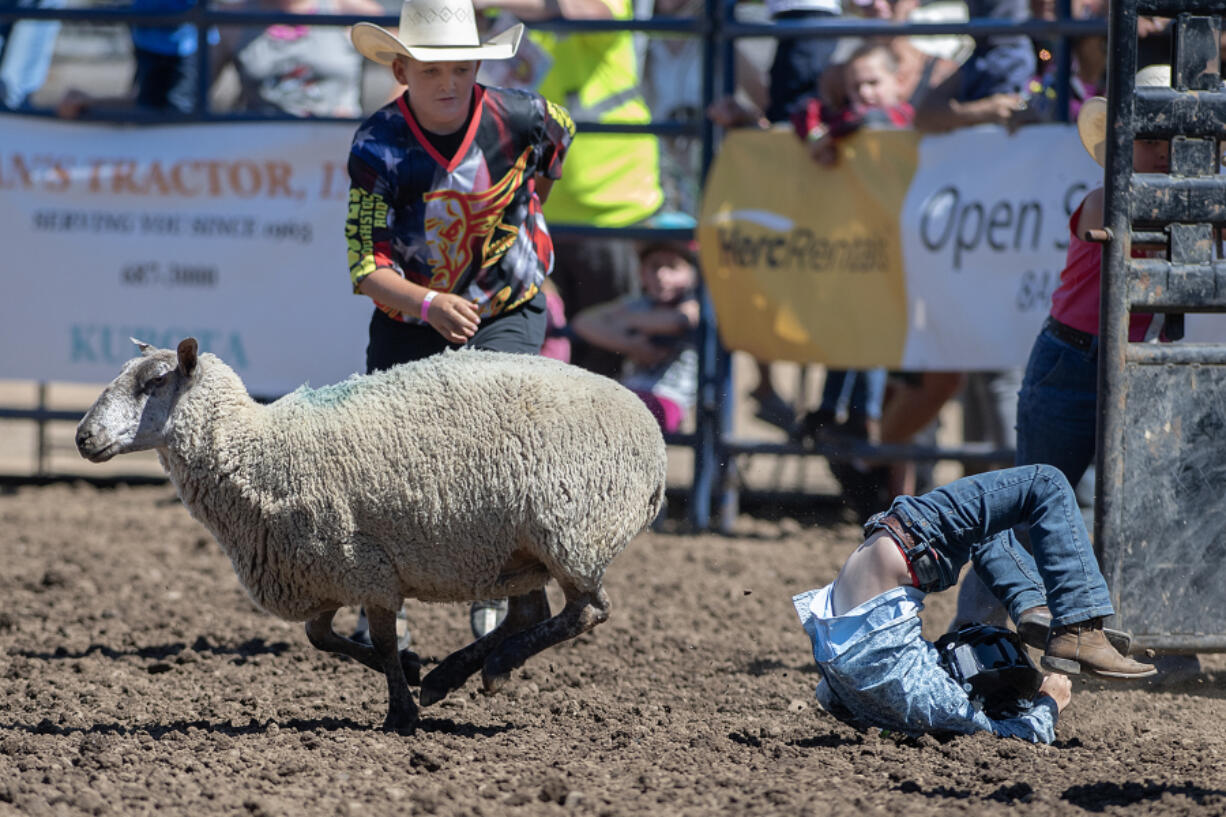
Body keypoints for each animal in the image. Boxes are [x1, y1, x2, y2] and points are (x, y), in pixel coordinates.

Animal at [76, 333, 666, 726]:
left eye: (154, 382)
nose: (83, 437)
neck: (258, 450)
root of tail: (652, 433)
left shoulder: (363, 563)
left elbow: (378, 639)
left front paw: (400, 712)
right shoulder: (324, 571)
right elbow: (321, 638)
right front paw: (412, 670)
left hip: (572, 531)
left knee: (587, 611)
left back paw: (494, 668)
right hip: (515, 549)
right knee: (531, 612)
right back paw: (450, 676)